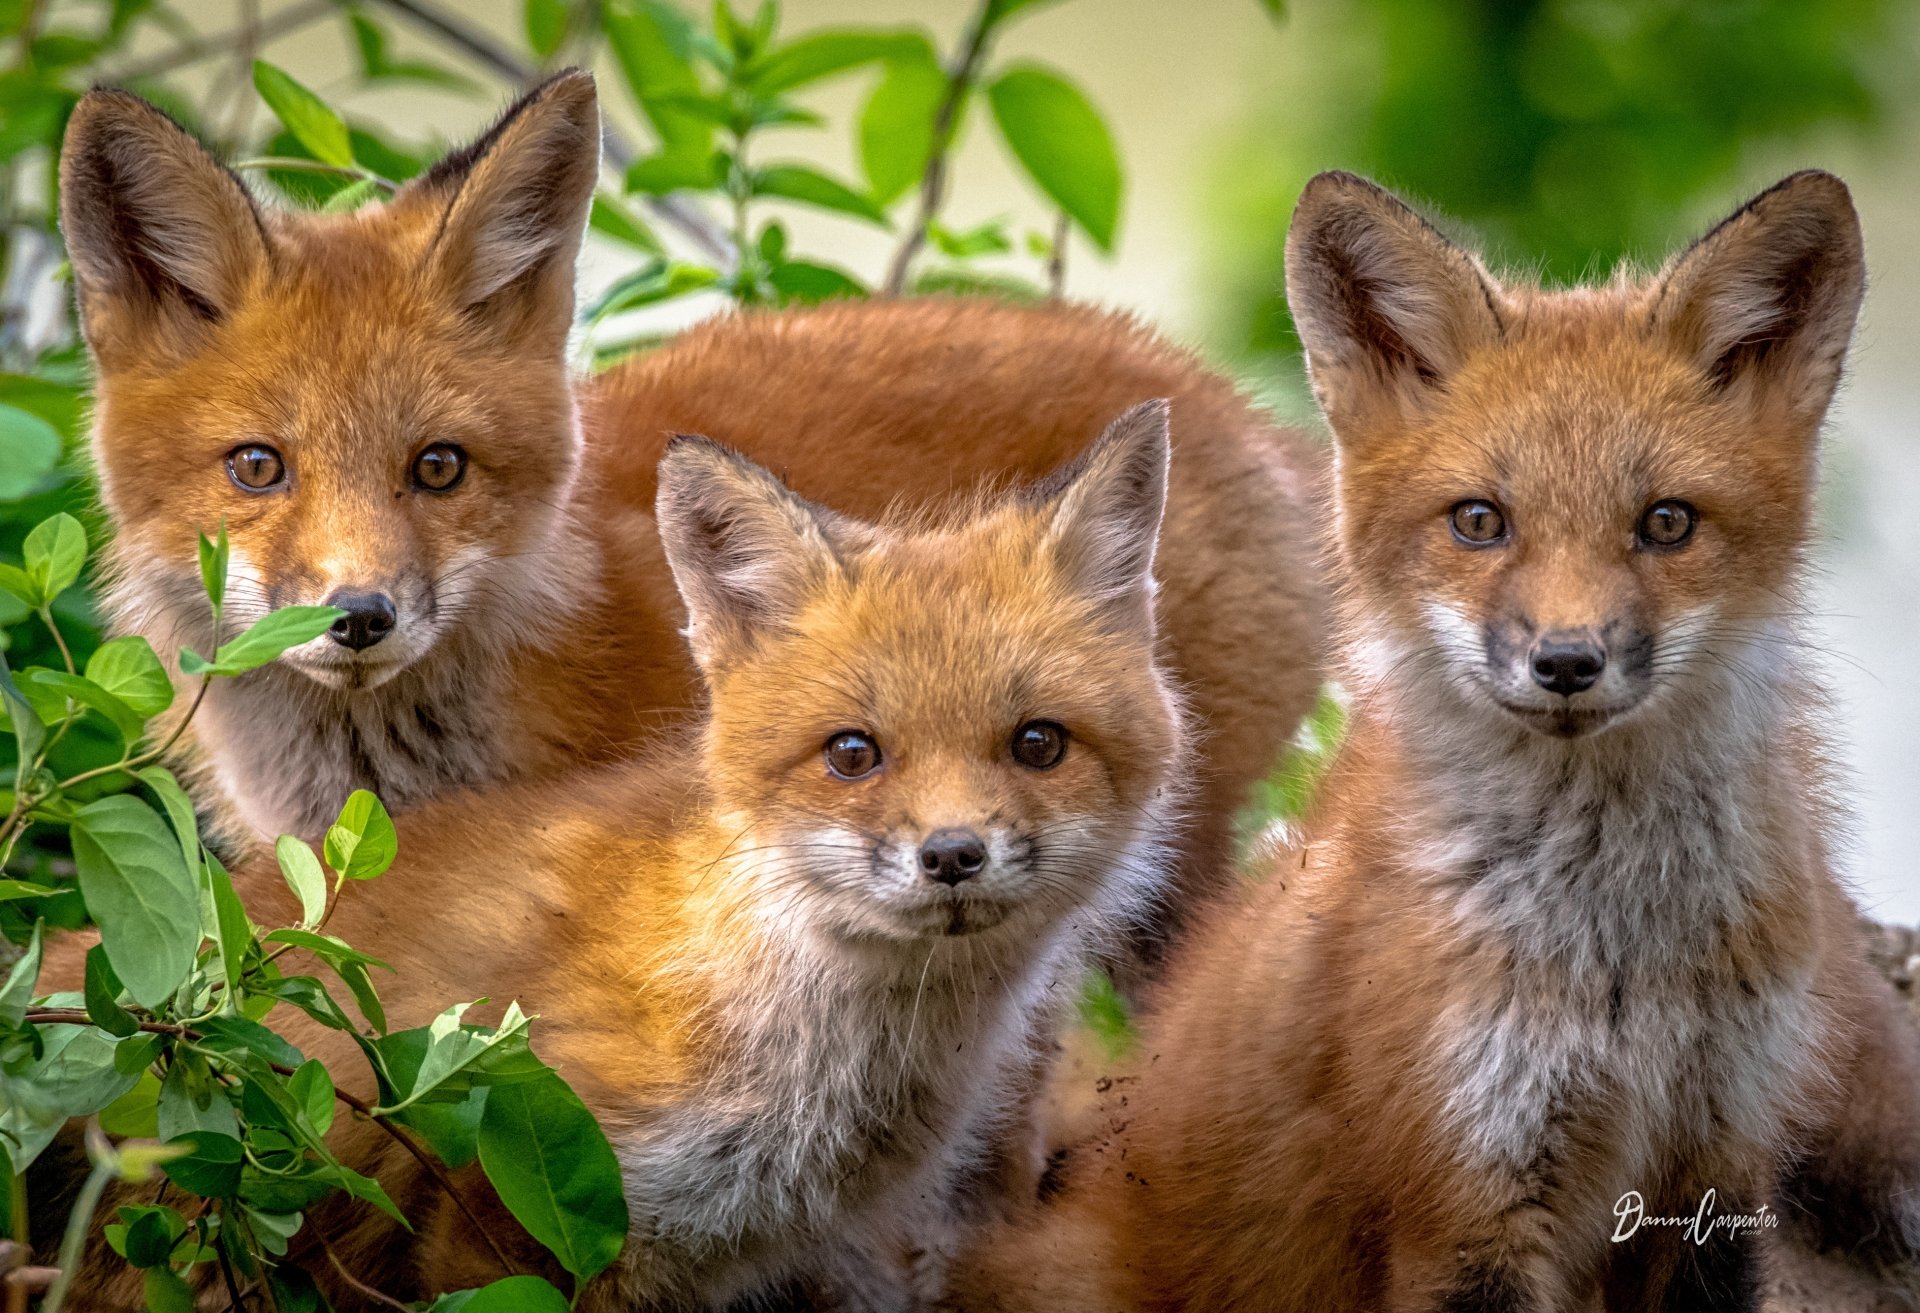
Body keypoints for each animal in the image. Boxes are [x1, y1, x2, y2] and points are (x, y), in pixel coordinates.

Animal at [946, 171, 1920, 1311]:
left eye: (1669, 522)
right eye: (1479, 521)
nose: (1567, 660)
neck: (1620, 962)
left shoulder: (1717, 1170)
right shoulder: (1464, 1201)